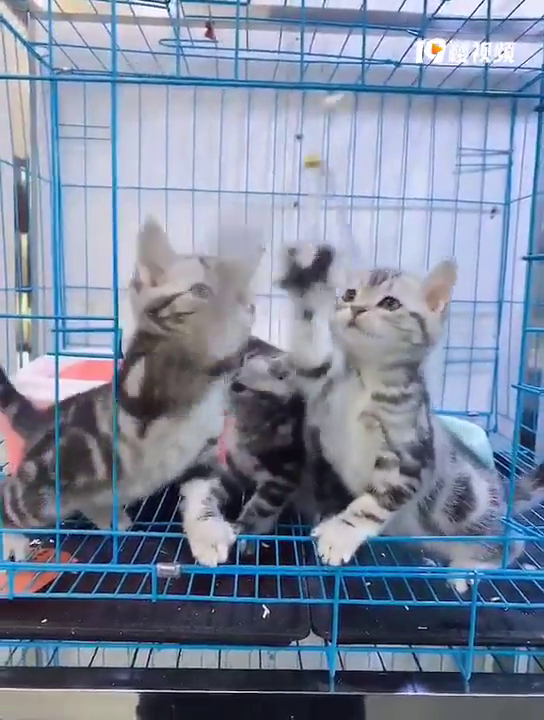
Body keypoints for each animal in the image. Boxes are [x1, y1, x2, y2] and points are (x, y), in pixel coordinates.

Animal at [0, 216, 260, 564]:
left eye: (247, 299)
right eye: (201, 290)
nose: (245, 306)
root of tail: (45, 418)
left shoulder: (201, 455)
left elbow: (200, 492)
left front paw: (207, 531)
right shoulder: (146, 385)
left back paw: (107, 515)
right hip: (57, 473)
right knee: (10, 496)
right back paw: (12, 538)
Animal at [176, 343, 307, 565]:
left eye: (238, 387)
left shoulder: (284, 475)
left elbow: (261, 508)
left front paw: (246, 531)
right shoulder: (225, 469)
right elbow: (201, 497)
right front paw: (209, 537)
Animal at [278, 243, 544, 593]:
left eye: (390, 303)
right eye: (349, 294)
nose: (356, 309)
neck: (365, 379)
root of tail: (501, 486)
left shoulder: (409, 455)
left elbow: (371, 505)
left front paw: (340, 533)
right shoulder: (319, 384)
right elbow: (311, 354)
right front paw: (307, 276)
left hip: (464, 508)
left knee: (511, 542)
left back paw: (467, 569)